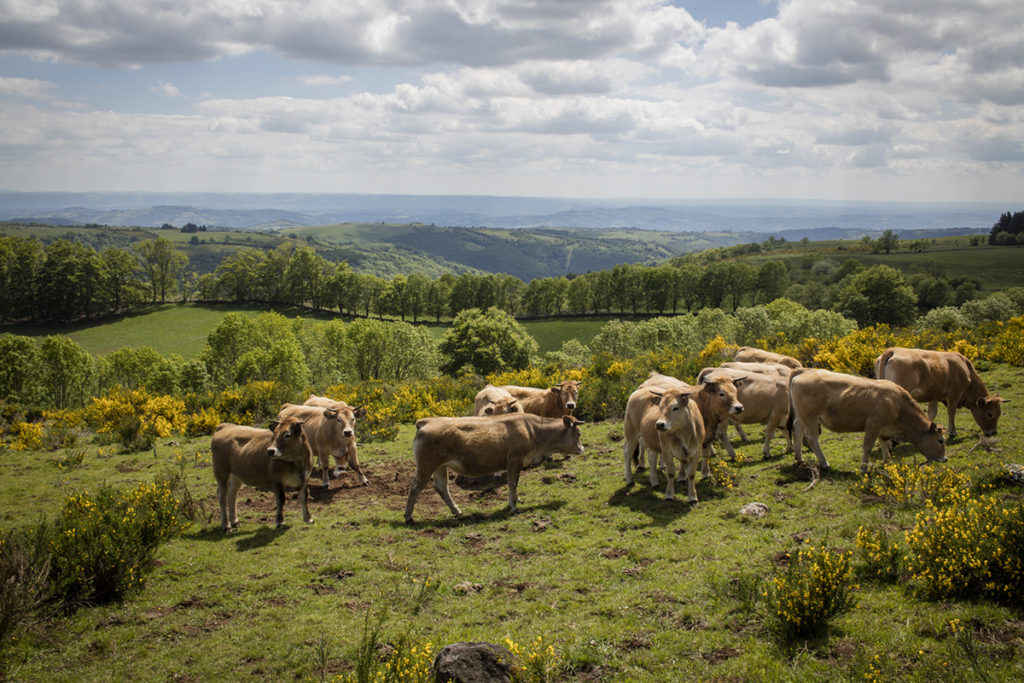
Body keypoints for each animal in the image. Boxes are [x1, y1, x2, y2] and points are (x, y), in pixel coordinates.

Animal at [404, 413, 585, 523]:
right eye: (578, 433)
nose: (582, 449)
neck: (532, 430)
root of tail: (426, 421)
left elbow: (514, 483)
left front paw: (517, 500)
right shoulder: (514, 460)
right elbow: (512, 483)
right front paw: (513, 506)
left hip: (441, 466)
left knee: (441, 487)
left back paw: (457, 511)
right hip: (426, 466)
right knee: (415, 487)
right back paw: (408, 516)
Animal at [789, 368, 947, 472]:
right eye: (940, 440)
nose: (945, 459)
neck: (898, 404)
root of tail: (804, 371)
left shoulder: (884, 428)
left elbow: (884, 442)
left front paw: (888, 461)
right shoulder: (873, 425)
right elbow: (868, 447)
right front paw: (864, 467)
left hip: (802, 416)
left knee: (797, 432)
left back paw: (799, 457)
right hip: (811, 417)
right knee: (812, 439)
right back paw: (824, 463)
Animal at [874, 347, 1005, 438]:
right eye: (990, 414)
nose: (993, 432)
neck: (967, 371)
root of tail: (893, 350)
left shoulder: (934, 396)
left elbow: (932, 413)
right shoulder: (954, 394)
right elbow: (951, 412)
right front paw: (952, 432)